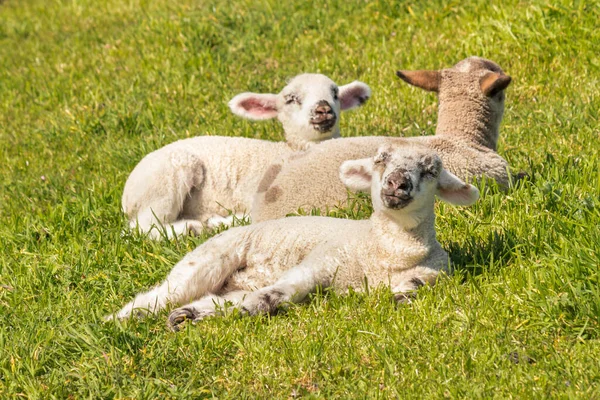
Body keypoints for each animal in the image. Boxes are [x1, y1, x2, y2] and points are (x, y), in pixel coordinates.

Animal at [106, 145, 478, 332]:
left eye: (431, 170)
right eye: (379, 161)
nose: (397, 183)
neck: (385, 252)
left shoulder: (434, 273)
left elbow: (414, 286)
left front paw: (402, 296)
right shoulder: (324, 259)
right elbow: (284, 290)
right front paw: (260, 305)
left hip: (231, 283)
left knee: (211, 299)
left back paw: (186, 317)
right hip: (209, 258)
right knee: (165, 291)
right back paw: (123, 319)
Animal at [122, 73, 370, 238]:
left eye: (335, 94)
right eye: (291, 98)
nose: (323, 109)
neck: (294, 149)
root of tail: (126, 195)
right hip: (166, 178)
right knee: (143, 226)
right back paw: (191, 228)